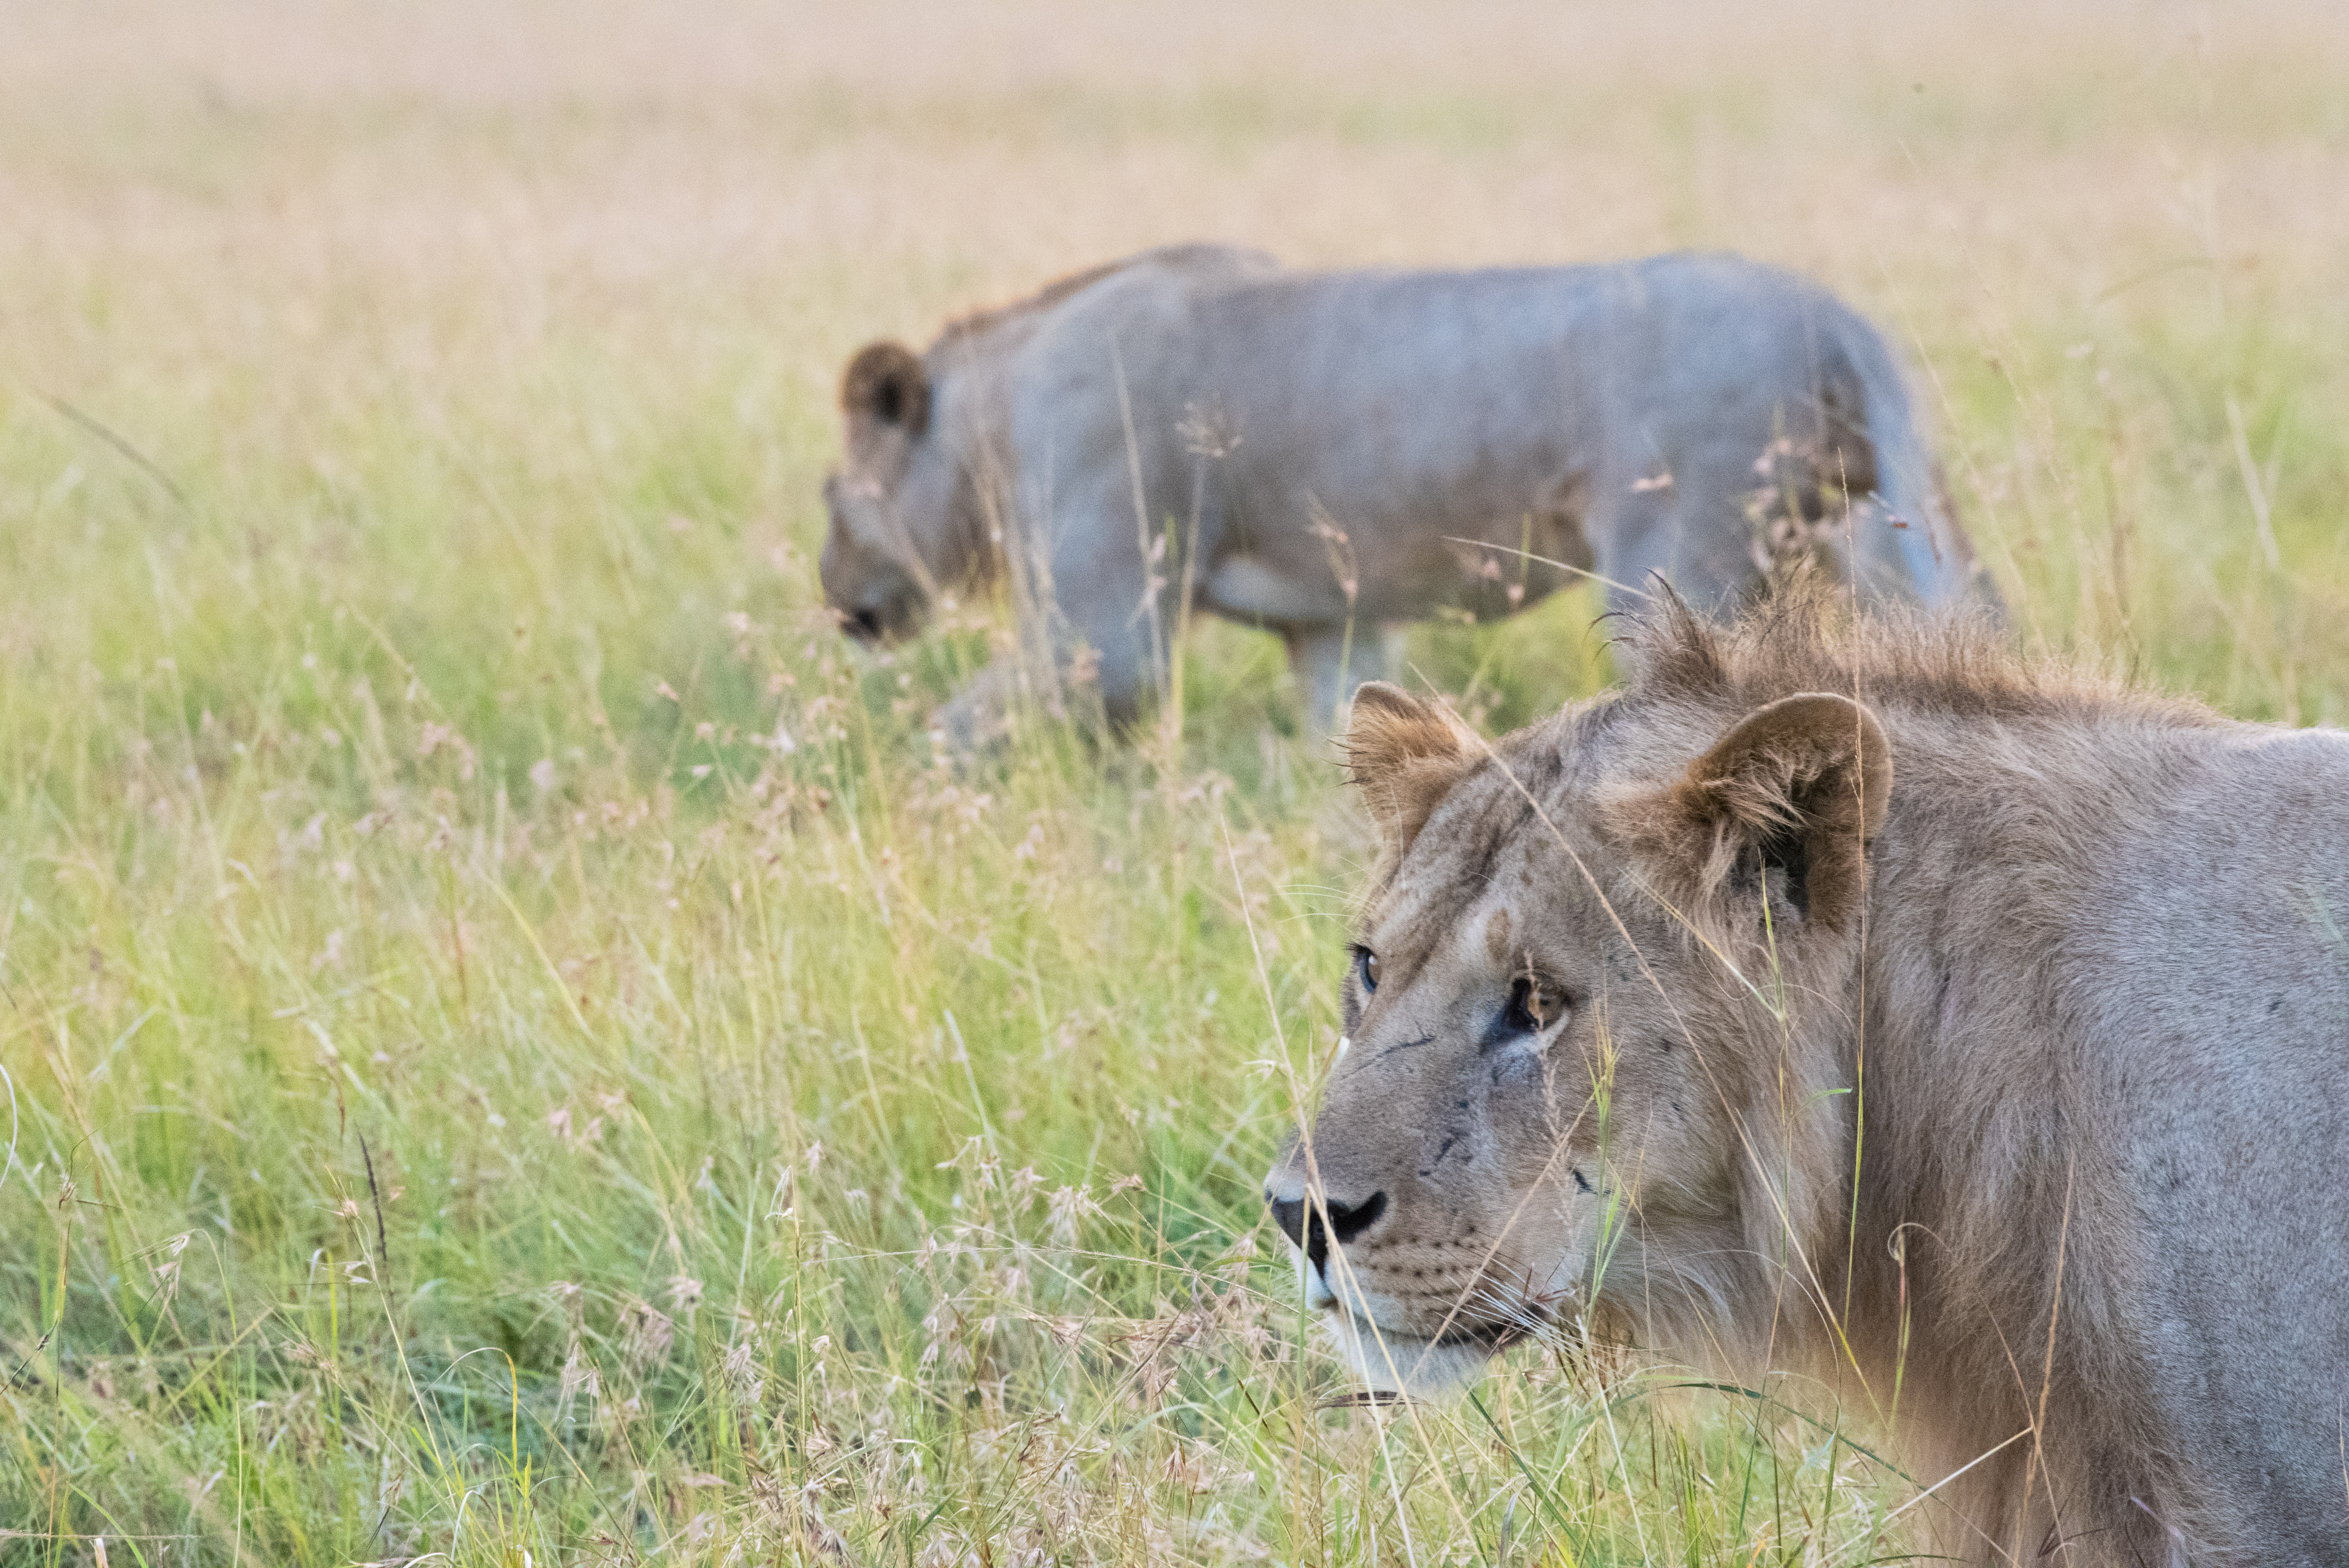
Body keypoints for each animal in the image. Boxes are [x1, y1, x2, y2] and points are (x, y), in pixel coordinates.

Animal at [817, 245, 1992, 746]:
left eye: (832, 498)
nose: (837, 603)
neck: (991, 409)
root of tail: (1833, 312)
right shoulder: (1335, 624)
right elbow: (1340, 730)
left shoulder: (1101, 629)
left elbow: (955, 732)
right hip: (1873, 542)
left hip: (1676, 555)